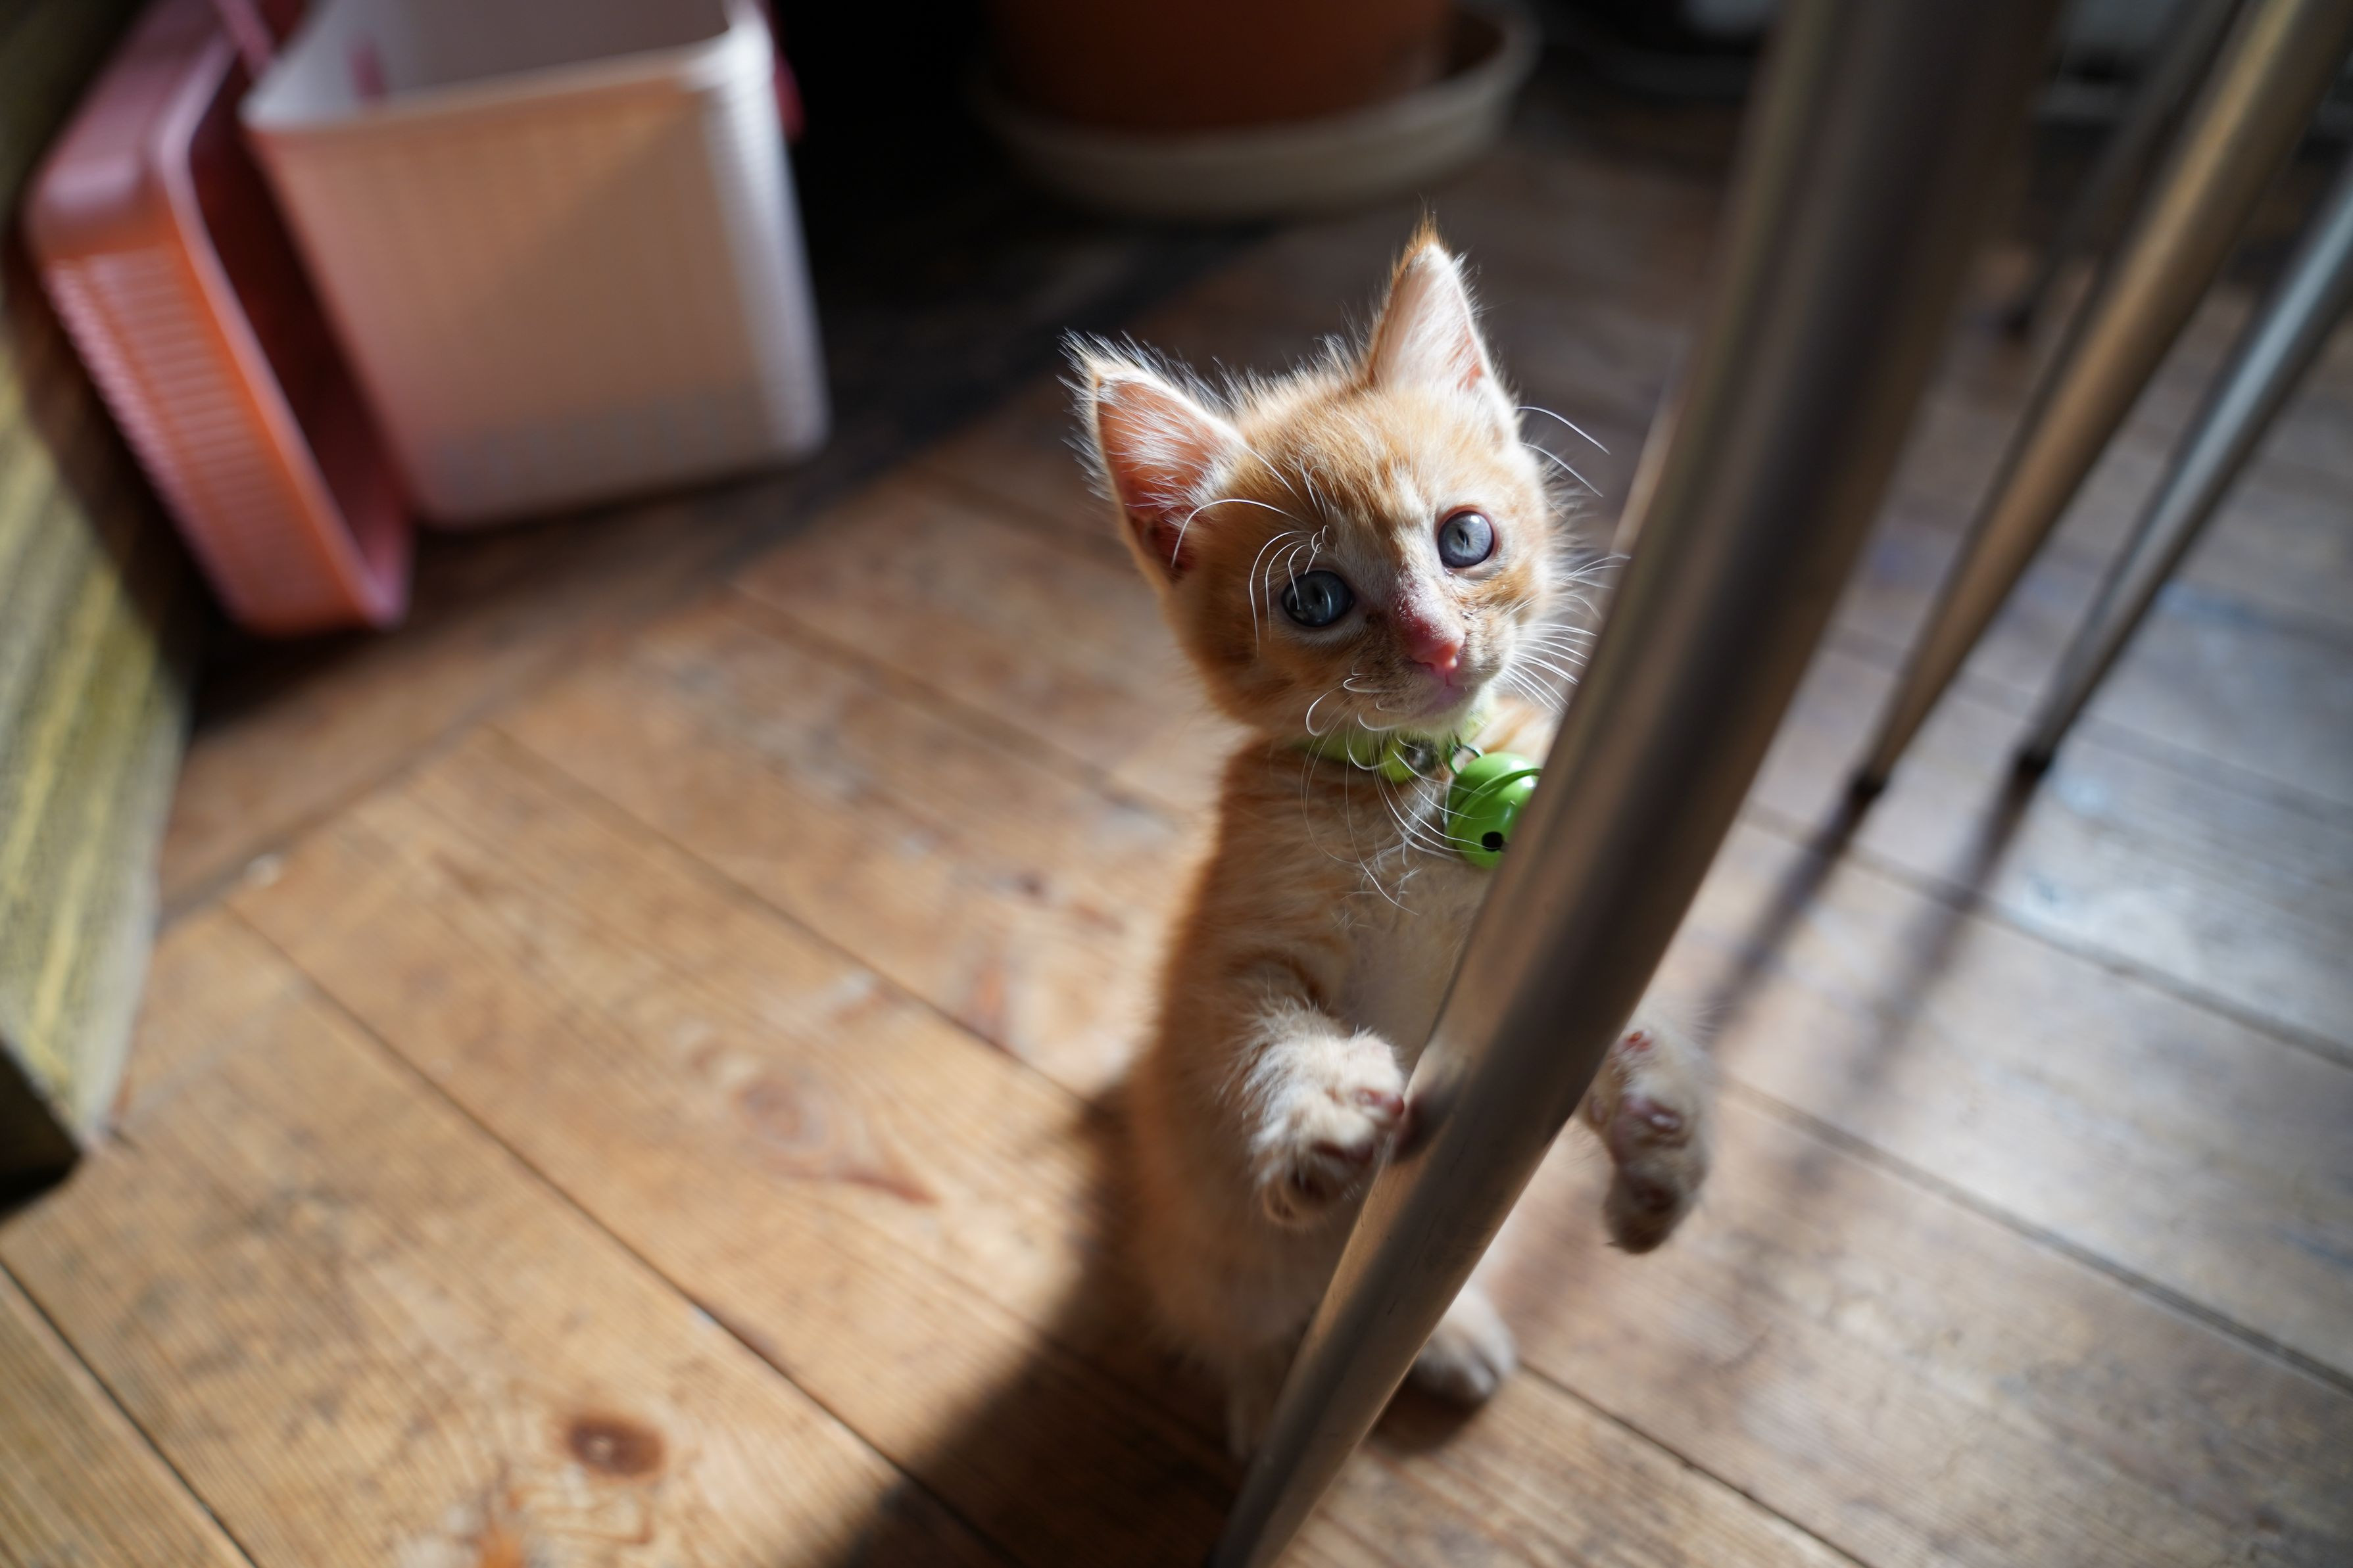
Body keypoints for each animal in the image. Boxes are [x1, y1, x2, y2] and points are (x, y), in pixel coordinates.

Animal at [1075, 225, 1715, 1457]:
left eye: (1464, 539)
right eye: (1316, 598)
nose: (1434, 642)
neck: (1414, 794)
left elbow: (1600, 1022)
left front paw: (1654, 1122)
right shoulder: (1235, 951)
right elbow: (1259, 1025)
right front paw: (1321, 1103)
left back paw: (1452, 1333)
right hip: (1215, 1259)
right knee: (1243, 1320)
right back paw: (1262, 1401)